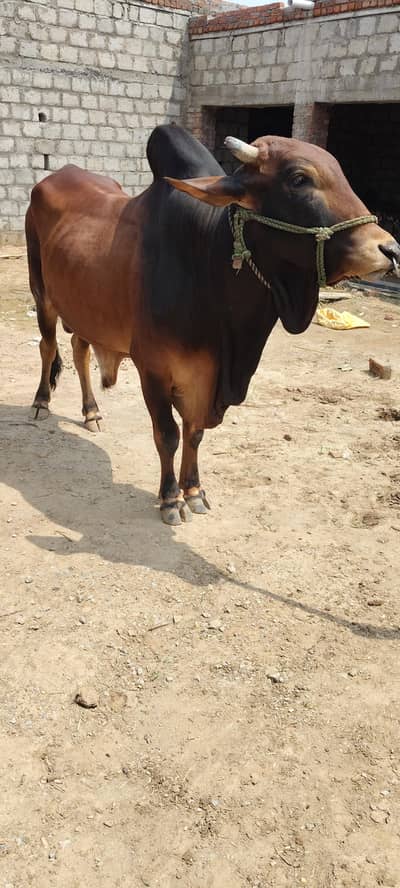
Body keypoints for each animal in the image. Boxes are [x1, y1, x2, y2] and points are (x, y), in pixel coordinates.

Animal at [25, 124, 400, 524]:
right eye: (299, 179)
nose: (390, 250)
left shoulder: (203, 375)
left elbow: (195, 433)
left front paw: (194, 492)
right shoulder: (152, 368)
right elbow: (168, 434)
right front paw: (170, 498)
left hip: (84, 308)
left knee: (80, 350)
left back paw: (91, 412)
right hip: (42, 293)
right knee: (48, 347)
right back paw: (41, 403)